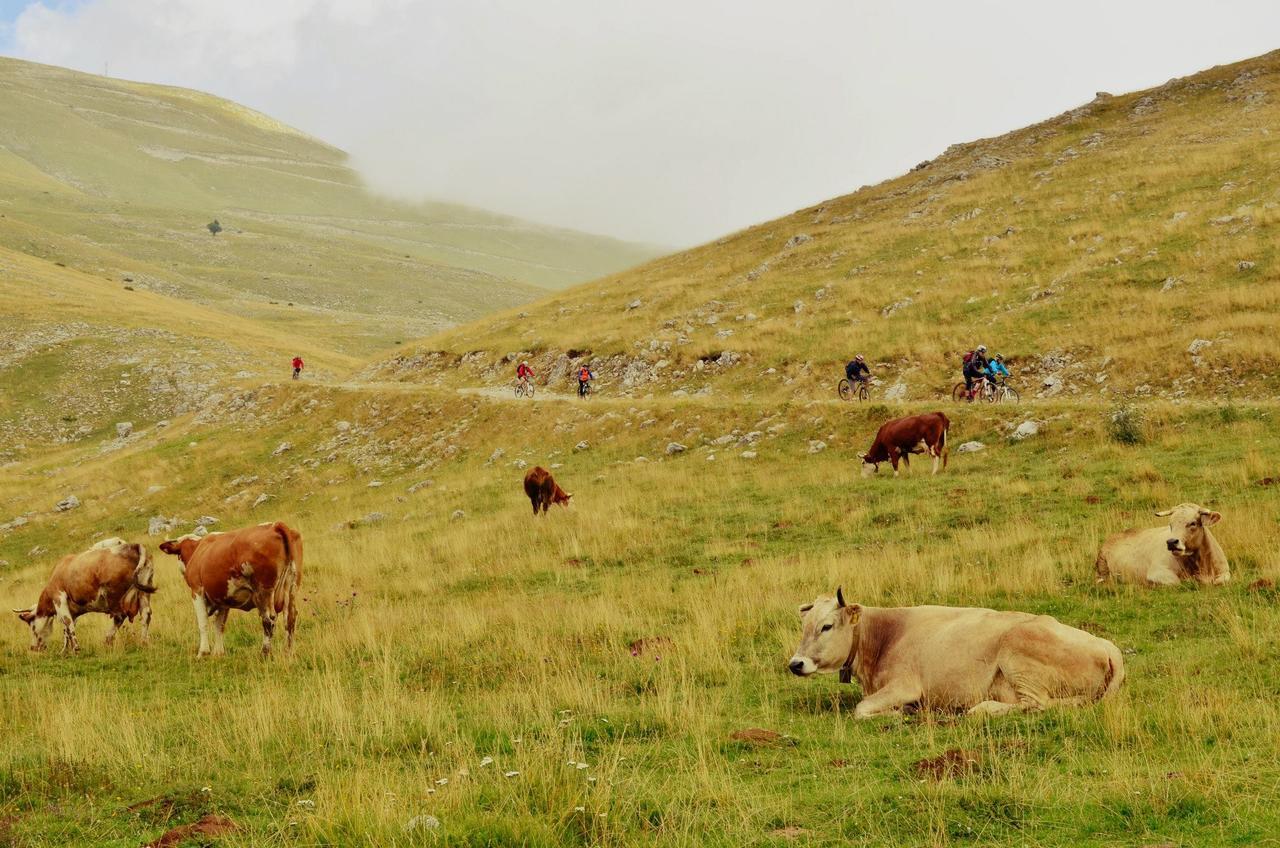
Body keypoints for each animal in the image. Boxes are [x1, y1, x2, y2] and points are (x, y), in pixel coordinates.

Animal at [12, 540, 154, 653]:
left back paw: (107, 640)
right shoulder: (72, 610)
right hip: (144, 592)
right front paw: (65, 650)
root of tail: (134, 545)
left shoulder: (59, 598)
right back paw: (143, 642)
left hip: (115, 596)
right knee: (146, 614)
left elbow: (68, 624)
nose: (33, 648)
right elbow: (67, 629)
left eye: (32, 626)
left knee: (119, 617)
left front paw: (75, 649)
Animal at [157, 522, 299, 660]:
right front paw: (218, 653)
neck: (197, 551)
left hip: (263, 592)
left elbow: (203, 622)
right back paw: (289, 653)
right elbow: (220, 625)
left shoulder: (197, 591)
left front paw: (203, 652)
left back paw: (264, 654)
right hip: (291, 590)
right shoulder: (223, 598)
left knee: (268, 621)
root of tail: (275, 525)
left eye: (178, 554)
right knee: (290, 620)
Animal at [783, 591, 1126, 722]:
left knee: (1036, 704)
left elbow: (861, 708)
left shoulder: (905, 685)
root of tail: (1107, 646)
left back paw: (983, 708)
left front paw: (899, 713)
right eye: (804, 625)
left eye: (827, 626)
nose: (795, 664)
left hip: (1019, 657)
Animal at [1090, 502, 1228, 589]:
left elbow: (1221, 580)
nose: (1171, 542)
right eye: (1170, 524)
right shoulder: (1157, 572)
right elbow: (1177, 582)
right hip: (1102, 569)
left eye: (1192, 523)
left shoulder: (1225, 572)